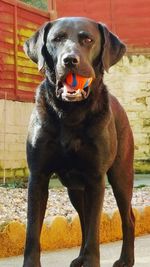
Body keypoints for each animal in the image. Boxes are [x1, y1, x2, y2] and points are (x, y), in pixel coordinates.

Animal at [22, 17, 135, 267]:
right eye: (57, 39)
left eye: (88, 40)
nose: (70, 60)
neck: (70, 113)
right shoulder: (38, 177)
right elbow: (32, 231)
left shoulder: (96, 178)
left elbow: (94, 231)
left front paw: (92, 260)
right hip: (75, 187)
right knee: (83, 218)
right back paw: (80, 258)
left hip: (121, 175)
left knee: (127, 217)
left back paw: (125, 259)